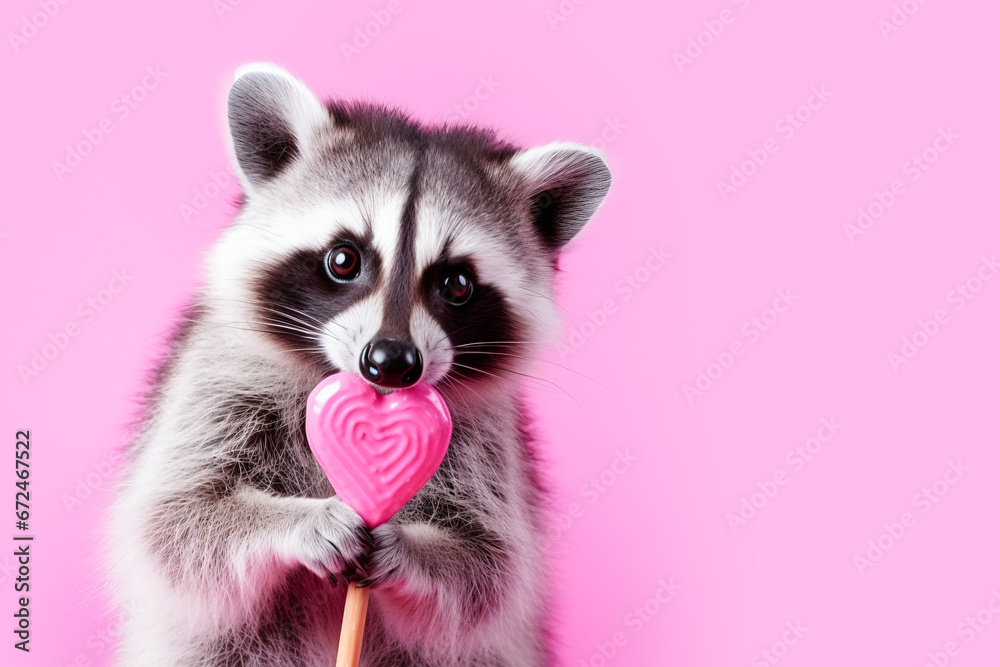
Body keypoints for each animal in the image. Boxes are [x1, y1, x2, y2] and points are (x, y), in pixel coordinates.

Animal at [106, 63, 611, 666]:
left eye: (456, 284)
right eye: (343, 260)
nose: (391, 363)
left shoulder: (489, 443)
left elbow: (488, 568)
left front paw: (407, 549)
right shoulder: (215, 379)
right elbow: (178, 518)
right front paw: (302, 520)